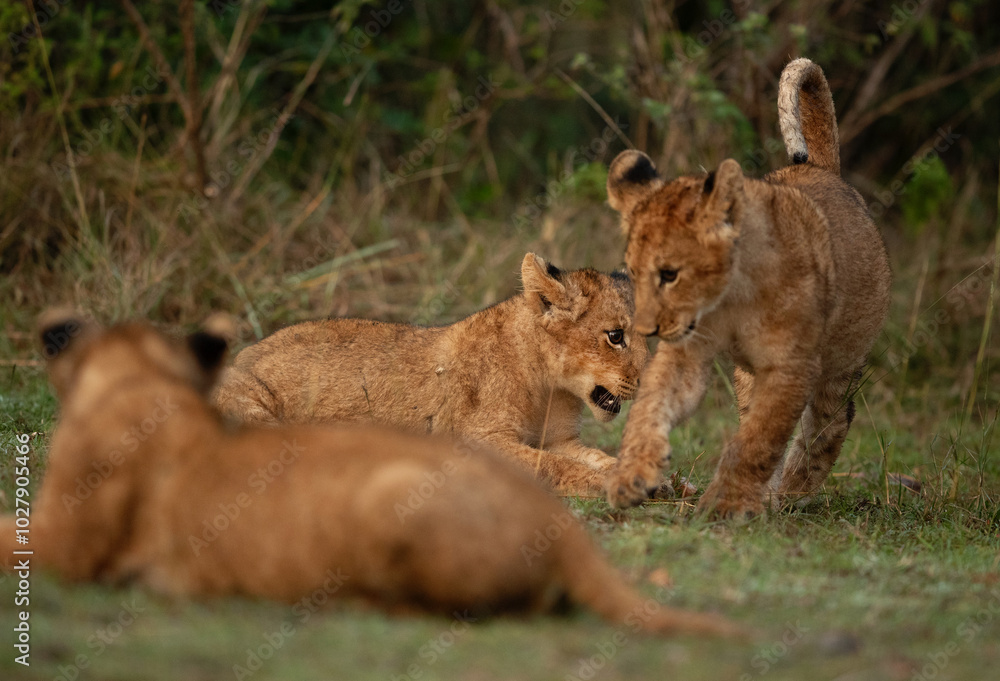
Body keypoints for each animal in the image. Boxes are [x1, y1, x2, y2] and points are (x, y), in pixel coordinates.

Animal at [212, 252, 649, 497]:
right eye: (615, 336)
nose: (646, 383)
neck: (551, 386)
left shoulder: (560, 440)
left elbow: (595, 457)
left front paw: (642, 477)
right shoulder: (478, 439)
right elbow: (553, 466)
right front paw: (608, 485)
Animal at [602, 58, 891, 516]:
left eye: (670, 274)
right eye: (632, 272)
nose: (645, 331)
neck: (731, 300)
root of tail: (817, 169)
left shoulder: (792, 367)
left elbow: (759, 440)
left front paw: (726, 504)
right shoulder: (687, 351)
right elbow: (652, 408)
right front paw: (632, 476)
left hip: (841, 358)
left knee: (830, 420)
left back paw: (791, 491)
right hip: (749, 375)